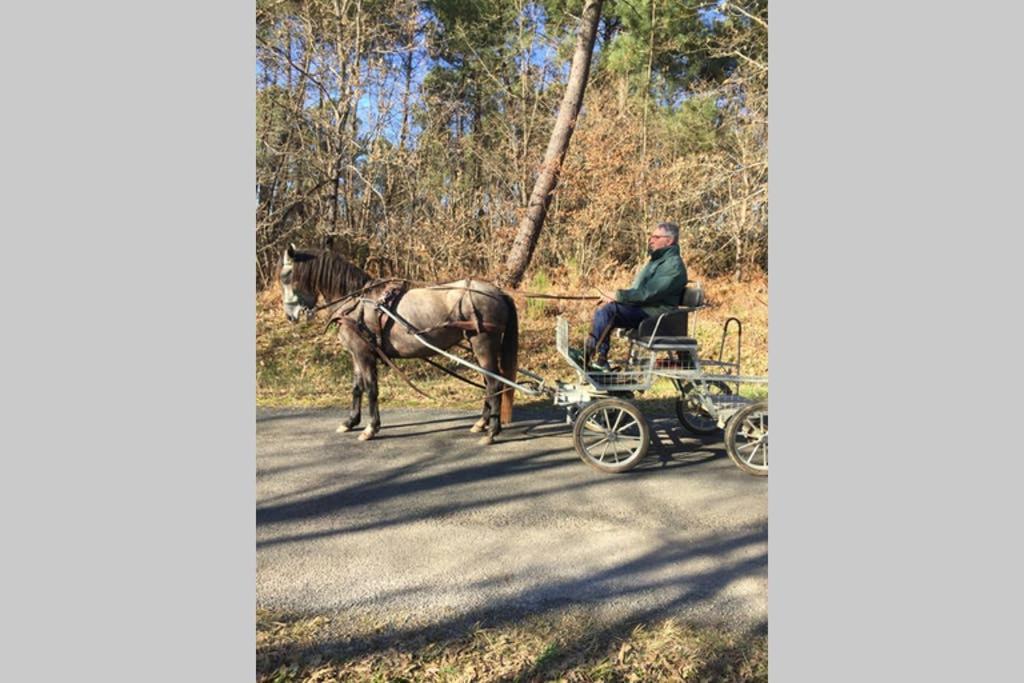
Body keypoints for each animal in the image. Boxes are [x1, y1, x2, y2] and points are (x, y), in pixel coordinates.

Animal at [280, 242, 520, 446]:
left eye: (285, 276)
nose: (290, 316)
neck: (354, 302)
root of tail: (498, 292)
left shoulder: (364, 354)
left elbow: (371, 389)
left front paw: (371, 428)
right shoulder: (356, 354)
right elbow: (357, 387)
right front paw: (350, 422)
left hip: (483, 344)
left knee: (494, 384)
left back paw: (492, 431)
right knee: (489, 383)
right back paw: (482, 423)